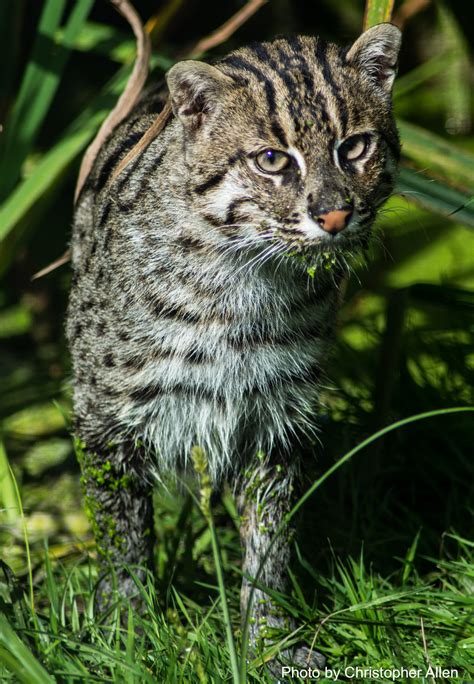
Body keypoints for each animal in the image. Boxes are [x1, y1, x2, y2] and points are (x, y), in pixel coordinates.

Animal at [66, 25, 400, 668]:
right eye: (272, 160)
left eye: (354, 147)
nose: (334, 215)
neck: (245, 275)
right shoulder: (104, 416)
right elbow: (122, 537)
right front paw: (127, 635)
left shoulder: (277, 416)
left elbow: (269, 542)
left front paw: (269, 640)